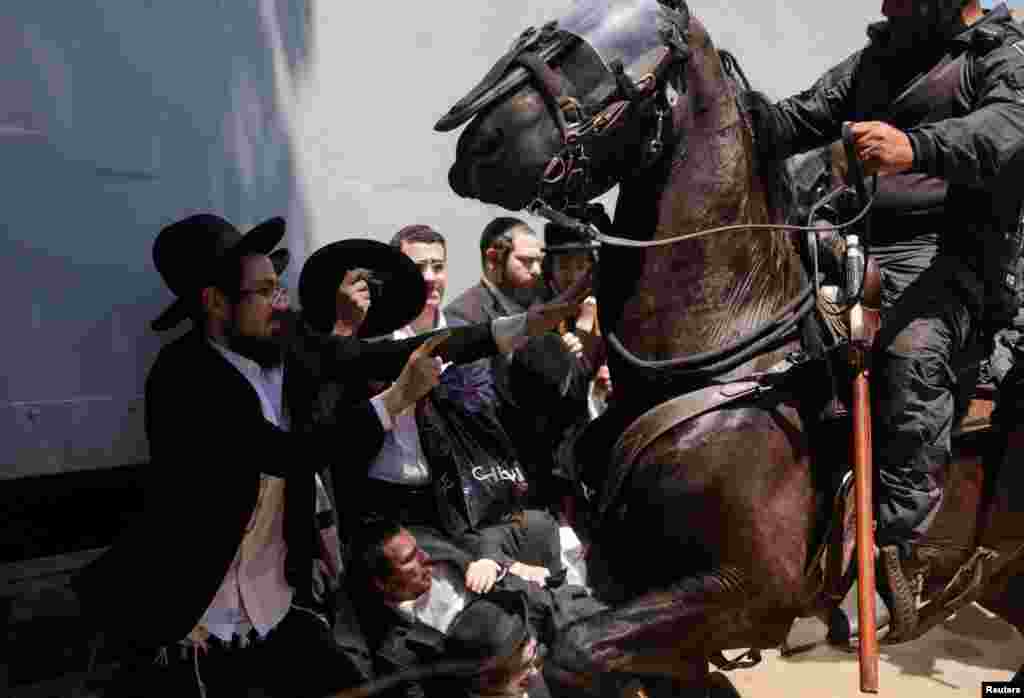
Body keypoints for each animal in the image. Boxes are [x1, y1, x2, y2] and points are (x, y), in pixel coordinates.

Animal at [434, 0, 1024, 691]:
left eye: (597, 59)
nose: (482, 144)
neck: (728, 350)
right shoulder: (652, 595)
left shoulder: (741, 591)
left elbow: (572, 647)